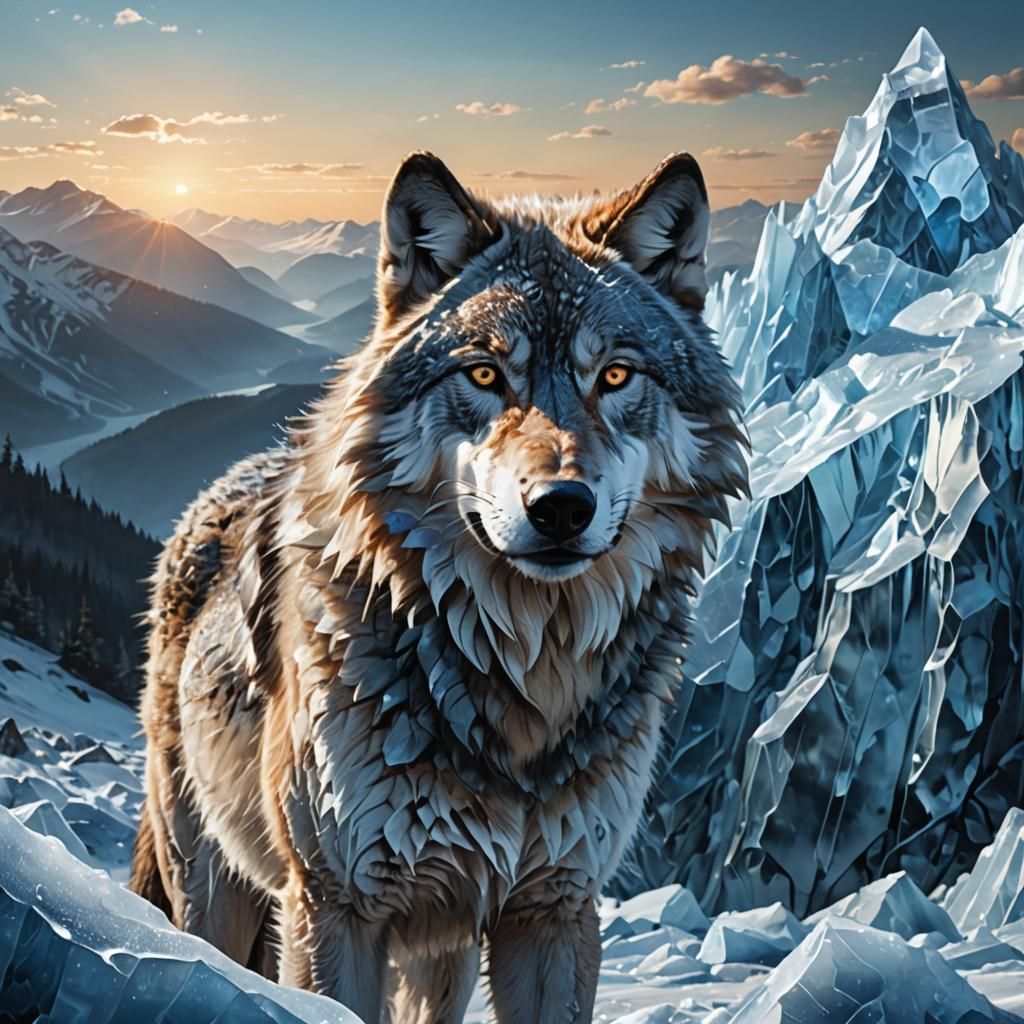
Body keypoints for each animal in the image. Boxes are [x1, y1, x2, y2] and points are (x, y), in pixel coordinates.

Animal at [131, 150, 747, 1023]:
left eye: (616, 375)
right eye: (485, 373)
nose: (561, 506)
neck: (523, 681)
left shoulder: (555, 910)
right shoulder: (335, 907)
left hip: (440, 949)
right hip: (218, 891)